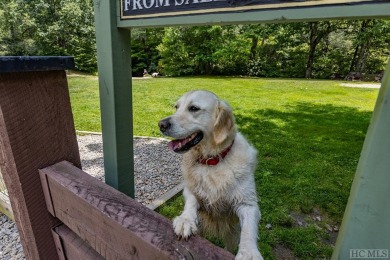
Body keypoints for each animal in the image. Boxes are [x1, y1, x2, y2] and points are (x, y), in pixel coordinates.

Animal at [158, 90, 262, 258]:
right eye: (176, 107)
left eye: (194, 108)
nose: (161, 124)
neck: (212, 161)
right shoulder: (190, 190)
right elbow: (191, 201)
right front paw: (186, 220)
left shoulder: (248, 204)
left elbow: (248, 230)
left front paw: (249, 253)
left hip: (232, 232)